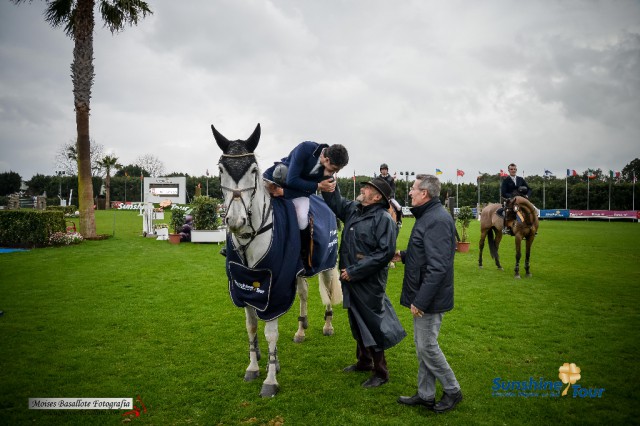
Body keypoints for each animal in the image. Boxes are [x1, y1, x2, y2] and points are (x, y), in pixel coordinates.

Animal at [212, 124, 342, 400]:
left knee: (327, 291)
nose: (235, 221)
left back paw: (327, 326)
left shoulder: (275, 288)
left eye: (253, 170)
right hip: (299, 272)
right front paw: (253, 367)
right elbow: (251, 327)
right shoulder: (245, 288)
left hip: (326, 265)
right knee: (304, 294)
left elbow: (270, 333)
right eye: (220, 170)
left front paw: (270, 380)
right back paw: (301, 330)